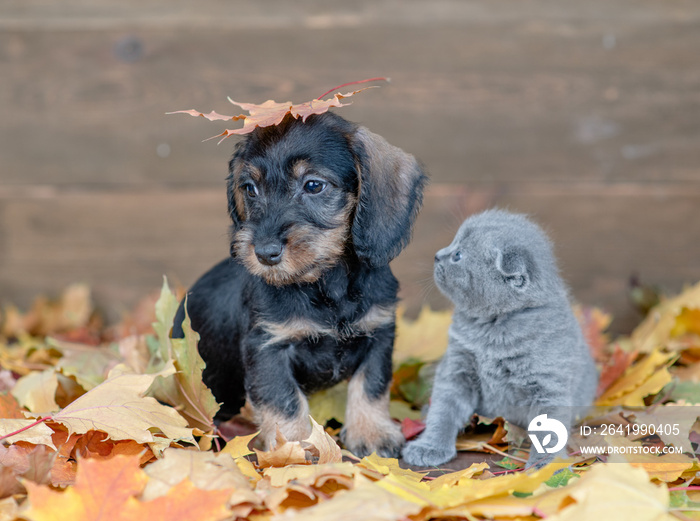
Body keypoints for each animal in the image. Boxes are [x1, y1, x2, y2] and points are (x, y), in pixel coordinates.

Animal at [172, 110, 430, 456]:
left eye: (313, 185)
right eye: (250, 188)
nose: (265, 253)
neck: (324, 284)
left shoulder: (379, 333)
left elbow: (371, 386)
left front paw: (372, 433)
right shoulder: (269, 347)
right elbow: (285, 402)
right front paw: (293, 448)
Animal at [404, 208, 596, 468]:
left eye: (457, 255)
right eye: (453, 244)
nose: (437, 255)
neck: (493, 330)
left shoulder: (549, 382)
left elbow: (549, 428)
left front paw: (545, 466)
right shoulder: (456, 368)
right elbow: (444, 410)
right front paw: (430, 446)